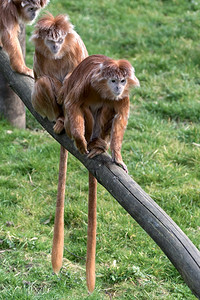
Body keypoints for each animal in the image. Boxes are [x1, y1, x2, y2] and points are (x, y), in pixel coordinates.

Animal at [57, 54, 139, 292]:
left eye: (122, 81)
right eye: (113, 80)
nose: (118, 87)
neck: (103, 90)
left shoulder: (123, 97)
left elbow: (121, 117)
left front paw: (117, 157)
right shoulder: (85, 84)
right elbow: (72, 103)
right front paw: (79, 141)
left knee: (108, 109)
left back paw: (99, 146)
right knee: (79, 108)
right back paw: (80, 137)